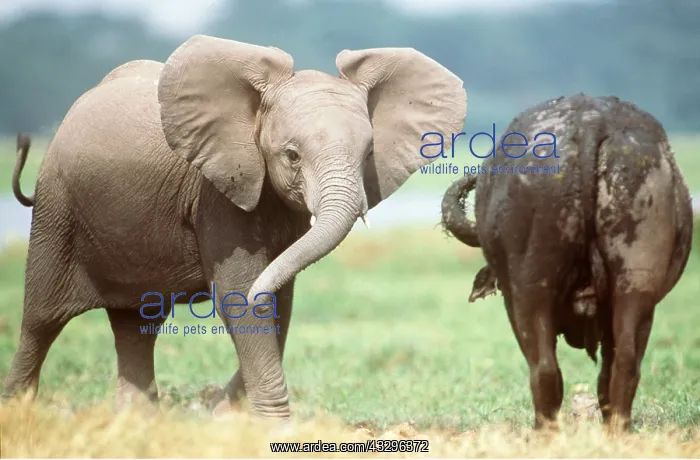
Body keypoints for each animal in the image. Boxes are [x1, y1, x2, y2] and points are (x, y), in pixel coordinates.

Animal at [3, 34, 467, 420]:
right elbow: (240, 293)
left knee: (136, 324)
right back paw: (21, 412)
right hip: (57, 208)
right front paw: (273, 427)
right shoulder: (217, 191)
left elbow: (279, 299)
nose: (207, 402)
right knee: (41, 319)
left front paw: (225, 414)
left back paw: (137, 420)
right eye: (292, 156)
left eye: (369, 153)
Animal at [441, 94, 693, 434]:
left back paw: (543, 433)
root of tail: (590, 122)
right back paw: (618, 431)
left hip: (529, 289)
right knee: (624, 362)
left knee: (544, 368)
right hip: (636, 279)